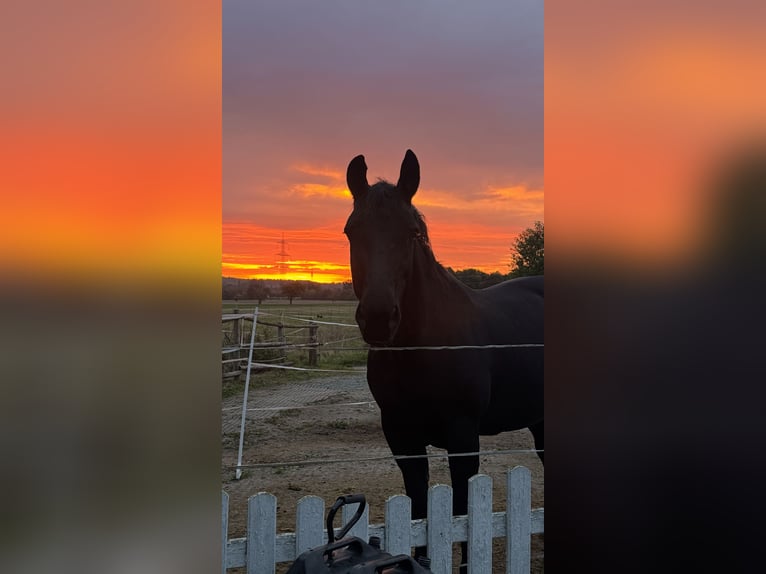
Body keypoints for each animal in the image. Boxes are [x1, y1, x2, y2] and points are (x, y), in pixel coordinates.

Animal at [344, 149, 544, 569]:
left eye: (413, 233)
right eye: (351, 231)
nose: (378, 318)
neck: (421, 350)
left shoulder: (463, 436)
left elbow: (464, 513)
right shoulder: (402, 438)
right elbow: (417, 510)